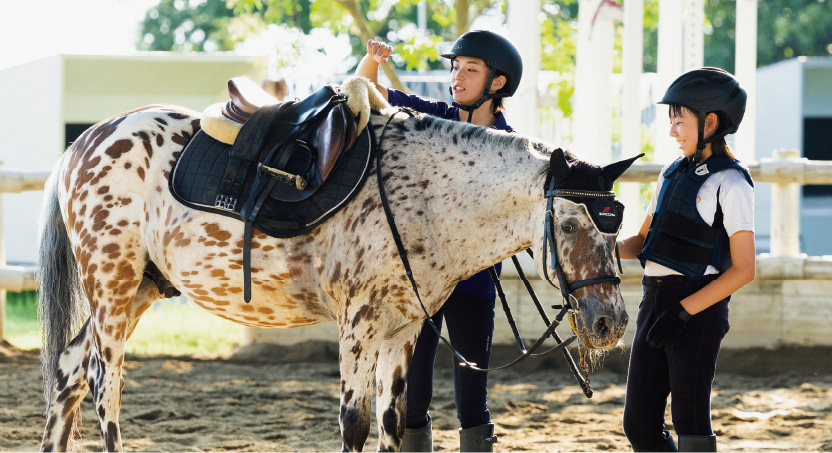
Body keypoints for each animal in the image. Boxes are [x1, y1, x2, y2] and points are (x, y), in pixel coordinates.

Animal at [35, 95, 640, 448]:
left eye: (617, 225)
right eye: (568, 224)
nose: (609, 322)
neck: (424, 194)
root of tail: (81, 144)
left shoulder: (403, 330)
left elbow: (393, 422)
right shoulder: (359, 326)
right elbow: (355, 422)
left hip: (138, 291)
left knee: (67, 372)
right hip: (111, 289)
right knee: (104, 387)